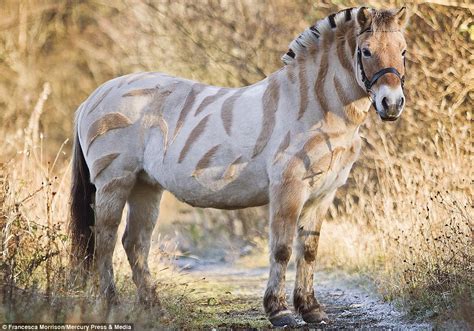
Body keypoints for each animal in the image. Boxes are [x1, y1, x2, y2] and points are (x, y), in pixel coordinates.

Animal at [69, 6, 408, 328]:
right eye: (366, 51)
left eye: (403, 51)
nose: (391, 104)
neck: (314, 106)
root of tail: (91, 99)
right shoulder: (288, 188)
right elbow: (282, 248)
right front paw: (279, 312)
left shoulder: (323, 193)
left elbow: (309, 251)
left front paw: (312, 310)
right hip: (115, 182)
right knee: (105, 240)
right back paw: (112, 306)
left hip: (145, 186)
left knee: (134, 243)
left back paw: (155, 309)